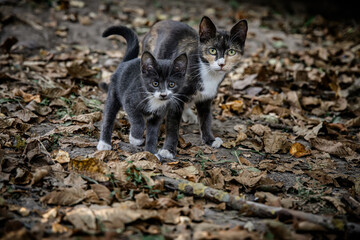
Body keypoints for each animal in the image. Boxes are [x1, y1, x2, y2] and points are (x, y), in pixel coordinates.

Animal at [97, 25, 187, 155]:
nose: (163, 94)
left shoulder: (158, 116)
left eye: (171, 84)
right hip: (114, 94)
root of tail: (126, 62)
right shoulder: (129, 101)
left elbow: (153, 134)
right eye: (155, 83)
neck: (153, 99)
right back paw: (104, 143)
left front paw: (151, 152)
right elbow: (138, 120)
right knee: (108, 117)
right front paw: (135, 138)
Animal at [142, 15, 249, 158]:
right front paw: (168, 150)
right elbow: (173, 125)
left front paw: (210, 139)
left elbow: (206, 118)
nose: (221, 64)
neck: (207, 71)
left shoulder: (207, 97)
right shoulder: (175, 95)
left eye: (231, 52)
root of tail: (157, 23)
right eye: (212, 50)